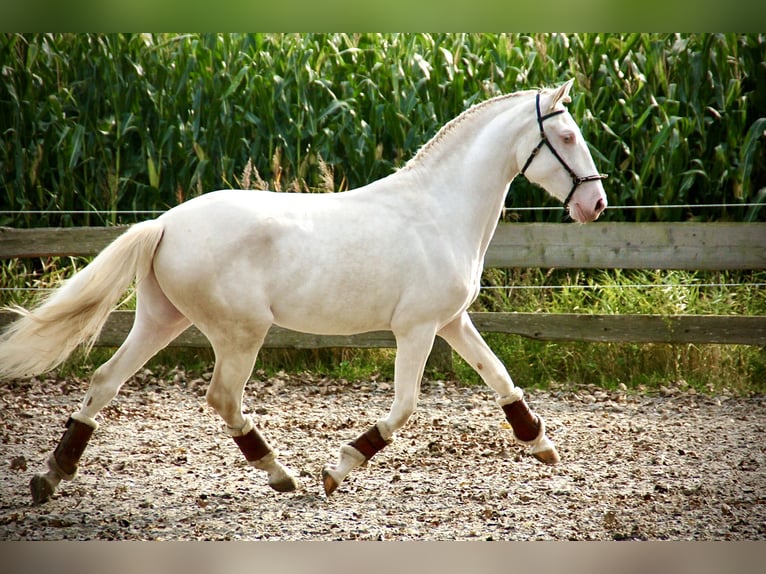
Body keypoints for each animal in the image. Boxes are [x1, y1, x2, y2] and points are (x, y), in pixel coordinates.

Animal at [3, 80, 608, 504]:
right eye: (568, 137)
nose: (595, 205)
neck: (439, 210)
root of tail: (167, 223)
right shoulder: (416, 329)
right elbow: (405, 407)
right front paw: (337, 469)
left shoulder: (452, 321)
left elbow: (499, 376)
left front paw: (541, 444)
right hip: (240, 332)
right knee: (222, 398)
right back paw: (283, 474)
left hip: (162, 320)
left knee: (105, 380)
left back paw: (51, 476)